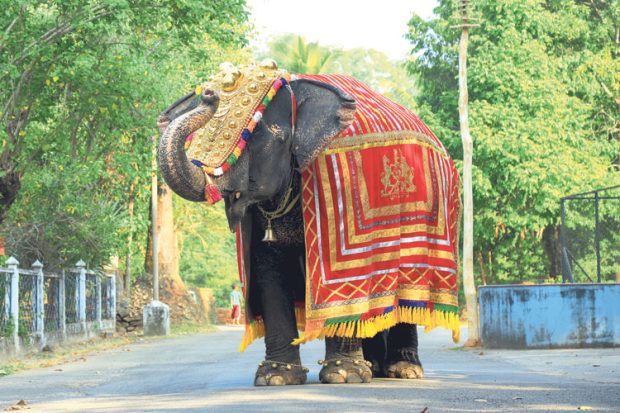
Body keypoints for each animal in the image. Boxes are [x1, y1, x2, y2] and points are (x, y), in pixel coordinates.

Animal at [157, 61, 462, 386]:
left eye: (260, 136)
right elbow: (267, 268)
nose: (209, 94)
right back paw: (375, 367)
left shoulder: (341, 189)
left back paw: (402, 370)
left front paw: (343, 375)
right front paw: (276, 377)